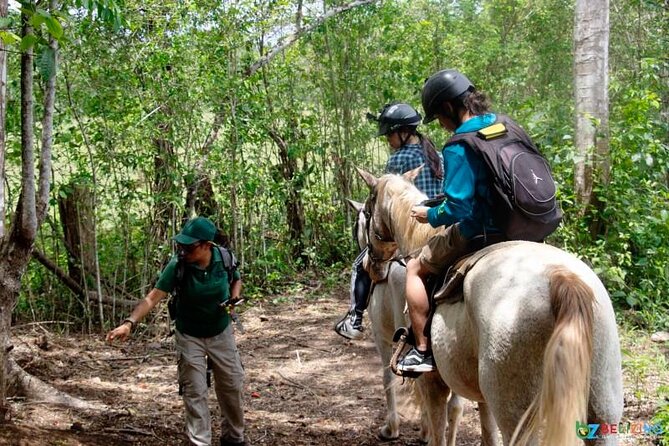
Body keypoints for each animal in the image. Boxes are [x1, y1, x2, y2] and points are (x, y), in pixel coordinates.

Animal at [358, 168, 624, 446]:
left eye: (366, 215)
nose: (370, 267)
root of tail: (561, 278)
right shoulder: (479, 393)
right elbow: (486, 430)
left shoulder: (432, 382)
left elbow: (438, 428)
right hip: (603, 408)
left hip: (516, 414)